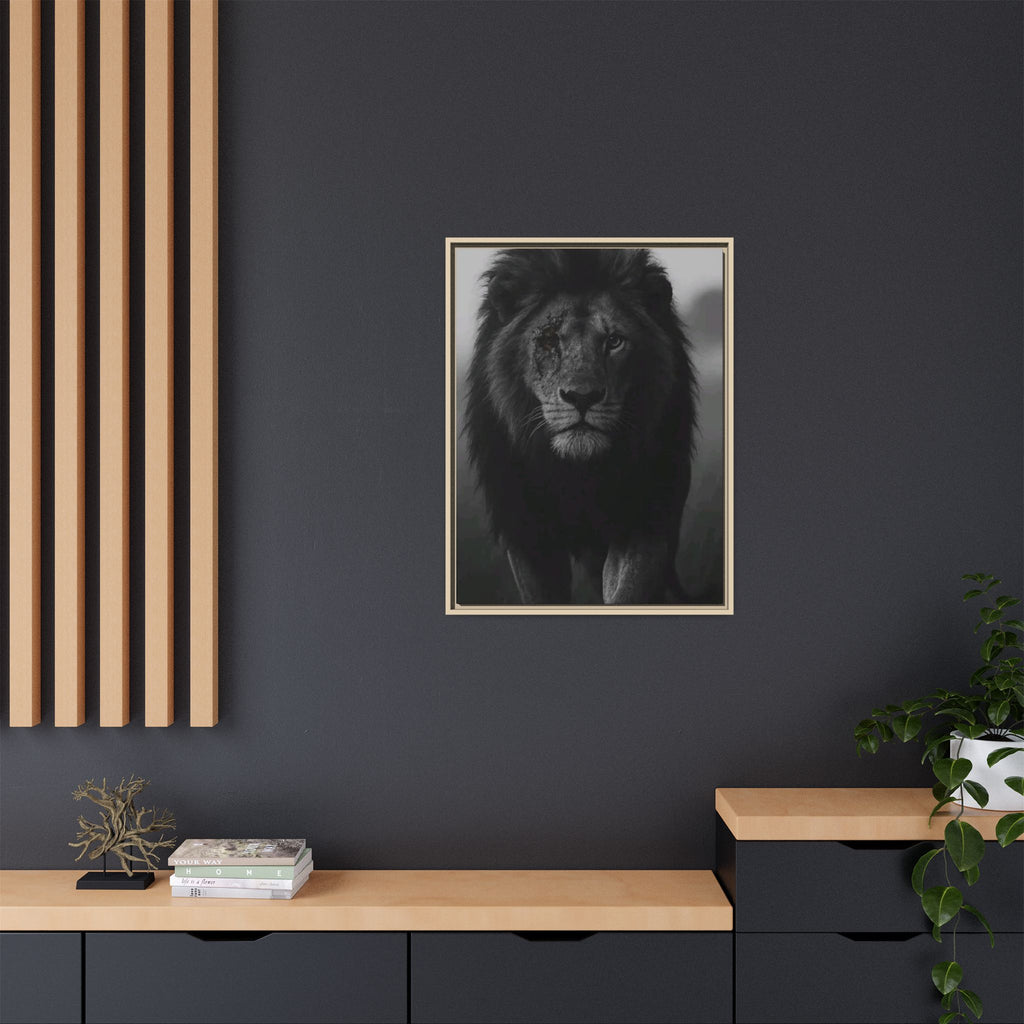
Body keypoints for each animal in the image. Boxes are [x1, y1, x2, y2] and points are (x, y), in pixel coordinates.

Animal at [464, 248, 697, 604]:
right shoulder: (526, 532)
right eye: (549, 340)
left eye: (614, 341)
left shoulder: (644, 519)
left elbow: (629, 592)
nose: (582, 397)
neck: (578, 474)